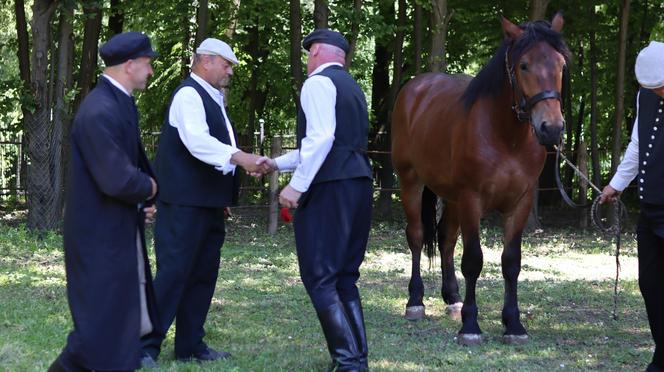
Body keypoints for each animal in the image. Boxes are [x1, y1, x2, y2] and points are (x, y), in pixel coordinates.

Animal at [394, 14, 572, 346]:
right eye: (523, 65)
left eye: (560, 64)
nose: (551, 128)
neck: (506, 137)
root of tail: (415, 88)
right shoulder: (471, 199)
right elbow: (473, 260)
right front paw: (471, 326)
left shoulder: (520, 203)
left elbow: (511, 262)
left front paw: (513, 325)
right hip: (411, 182)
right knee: (416, 236)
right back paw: (416, 302)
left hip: (451, 197)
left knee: (446, 238)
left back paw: (452, 299)